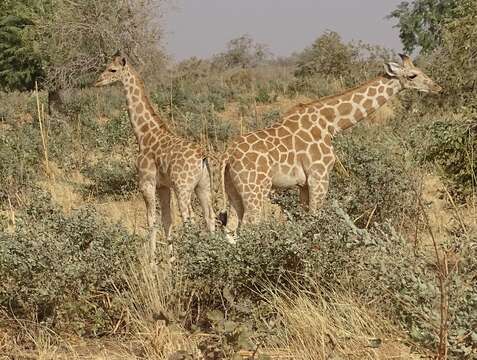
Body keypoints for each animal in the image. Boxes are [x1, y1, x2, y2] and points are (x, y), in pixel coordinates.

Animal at [95, 50, 214, 258]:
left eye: (112, 69)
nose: (97, 81)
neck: (143, 134)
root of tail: (202, 156)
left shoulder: (147, 183)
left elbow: (151, 219)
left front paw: (151, 259)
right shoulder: (163, 186)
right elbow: (167, 220)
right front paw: (170, 259)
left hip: (183, 187)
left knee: (189, 219)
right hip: (203, 186)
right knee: (210, 217)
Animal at [218, 54, 440, 232]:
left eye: (421, 71)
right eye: (412, 75)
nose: (437, 87)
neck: (331, 124)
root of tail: (228, 155)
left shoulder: (303, 184)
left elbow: (305, 220)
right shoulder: (319, 176)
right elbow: (316, 219)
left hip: (233, 191)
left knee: (230, 230)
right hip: (255, 190)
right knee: (248, 226)